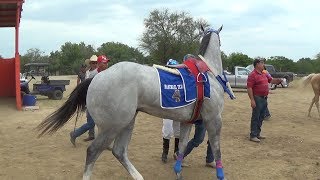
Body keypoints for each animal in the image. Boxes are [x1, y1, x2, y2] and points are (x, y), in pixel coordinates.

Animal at [37, 25, 226, 180]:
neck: (208, 73)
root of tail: (96, 78)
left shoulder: (187, 121)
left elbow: (182, 146)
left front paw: (178, 171)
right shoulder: (213, 119)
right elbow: (216, 149)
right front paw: (220, 175)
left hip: (127, 122)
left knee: (119, 151)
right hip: (113, 126)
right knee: (93, 151)